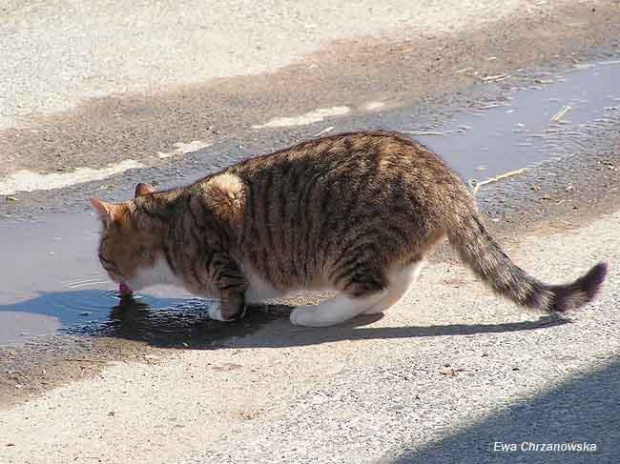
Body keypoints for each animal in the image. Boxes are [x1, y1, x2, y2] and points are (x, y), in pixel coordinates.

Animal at [92, 130, 604, 326]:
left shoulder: (222, 212)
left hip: (349, 245)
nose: (110, 280)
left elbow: (231, 286)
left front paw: (225, 310)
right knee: (395, 283)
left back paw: (316, 314)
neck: (171, 223)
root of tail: (446, 179)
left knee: (369, 287)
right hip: (395, 246)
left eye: (101, 257)